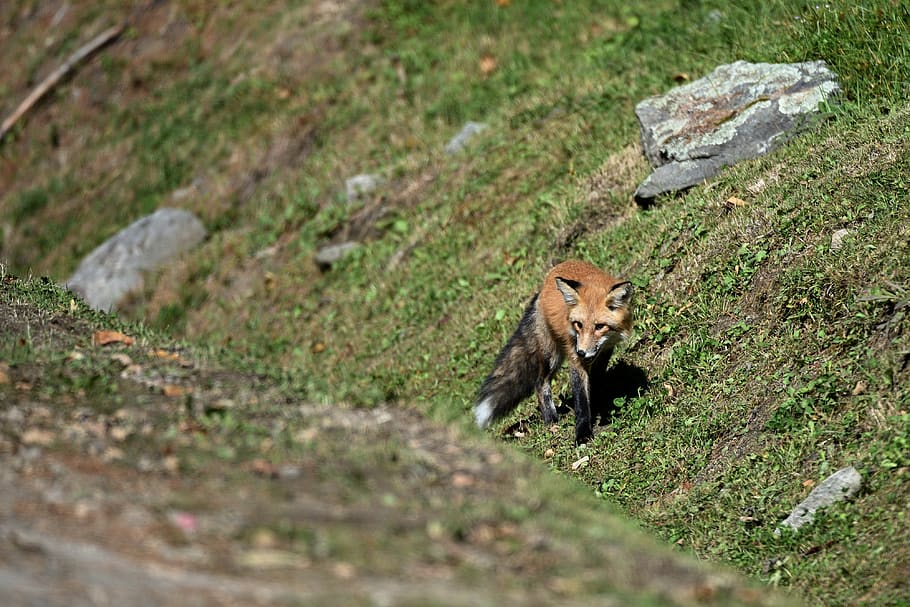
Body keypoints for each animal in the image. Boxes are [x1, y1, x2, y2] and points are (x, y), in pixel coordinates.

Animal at [474, 260, 634, 444]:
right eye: (578, 324)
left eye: (600, 326)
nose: (581, 352)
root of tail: (545, 284)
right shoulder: (576, 360)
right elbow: (581, 401)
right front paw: (583, 434)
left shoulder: (605, 351)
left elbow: (598, 384)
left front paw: (602, 411)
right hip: (552, 355)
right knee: (540, 383)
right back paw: (551, 420)